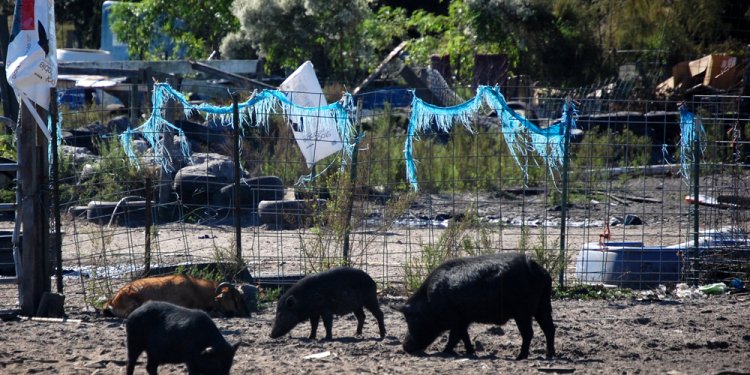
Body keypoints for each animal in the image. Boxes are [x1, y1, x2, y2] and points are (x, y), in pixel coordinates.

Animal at [402, 253, 556, 362]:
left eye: (413, 320)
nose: (405, 347)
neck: (429, 302)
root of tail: (537, 268)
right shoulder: (463, 319)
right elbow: (464, 336)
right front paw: (471, 352)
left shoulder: (455, 318)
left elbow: (454, 336)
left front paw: (444, 352)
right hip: (542, 306)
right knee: (549, 328)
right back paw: (550, 355)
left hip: (523, 311)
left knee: (529, 332)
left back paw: (520, 357)